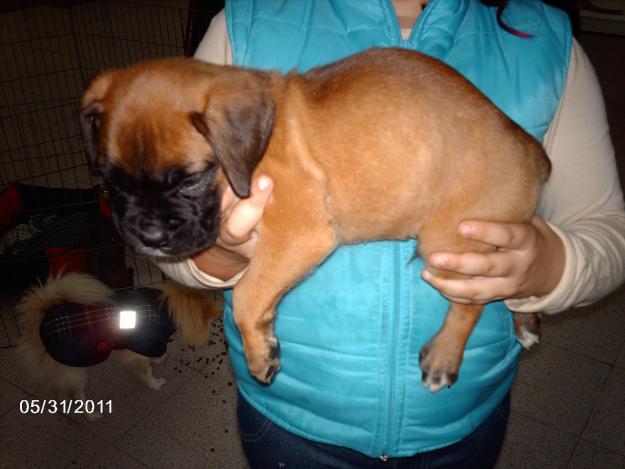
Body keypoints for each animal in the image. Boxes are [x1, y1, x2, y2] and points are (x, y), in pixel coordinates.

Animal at [16, 268, 222, 418]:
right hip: (76, 370)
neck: (165, 306)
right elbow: (146, 371)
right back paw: (91, 415)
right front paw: (155, 383)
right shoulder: (140, 348)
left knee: (58, 386)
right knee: (77, 394)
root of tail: (38, 322)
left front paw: (159, 359)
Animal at [79, 47, 544, 392]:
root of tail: (531, 150)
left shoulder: (300, 232)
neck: (254, 147)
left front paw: (259, 354)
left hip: (449, 243)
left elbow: (247, 293)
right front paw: (264, 339)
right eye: (112, 184)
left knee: (471, 302)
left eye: (190, 180)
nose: (149, 237)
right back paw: (527, 321)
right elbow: (256, 293)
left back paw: (445, 356)